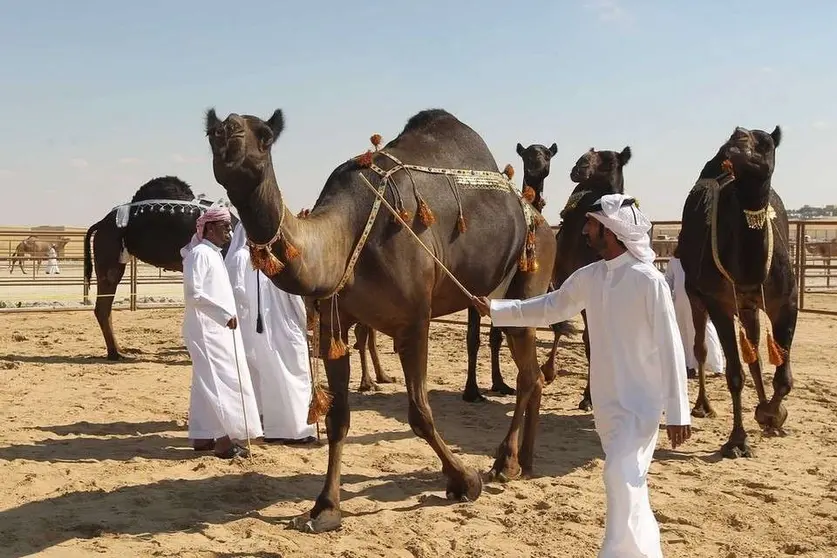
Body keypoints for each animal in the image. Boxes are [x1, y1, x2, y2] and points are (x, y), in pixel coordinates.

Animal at [202, 107, 556, 536]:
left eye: (265, 135)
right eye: (212, 132)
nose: (229, 132)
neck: (347, 233)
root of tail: (541, 218)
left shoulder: (415, 322)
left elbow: (419, 414)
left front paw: (464, 481)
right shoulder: (333, 325)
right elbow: (338, 418)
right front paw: (325, 509)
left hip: (530, 275)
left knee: (529, 373)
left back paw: (505, 462)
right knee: (532, 374)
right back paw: (526, 462)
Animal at [672, 126, 796, 460]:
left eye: (764, 143)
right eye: (735, 134)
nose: (736, 142)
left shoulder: (786, 302)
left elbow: (783, 376)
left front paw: (772, 415)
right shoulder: (720, 302)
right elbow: (734, 374)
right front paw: (737, 441)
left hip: (750, 304)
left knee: (754, 351)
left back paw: (764, 411)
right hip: (697, 294)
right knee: (701, 347)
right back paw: (703, 406)